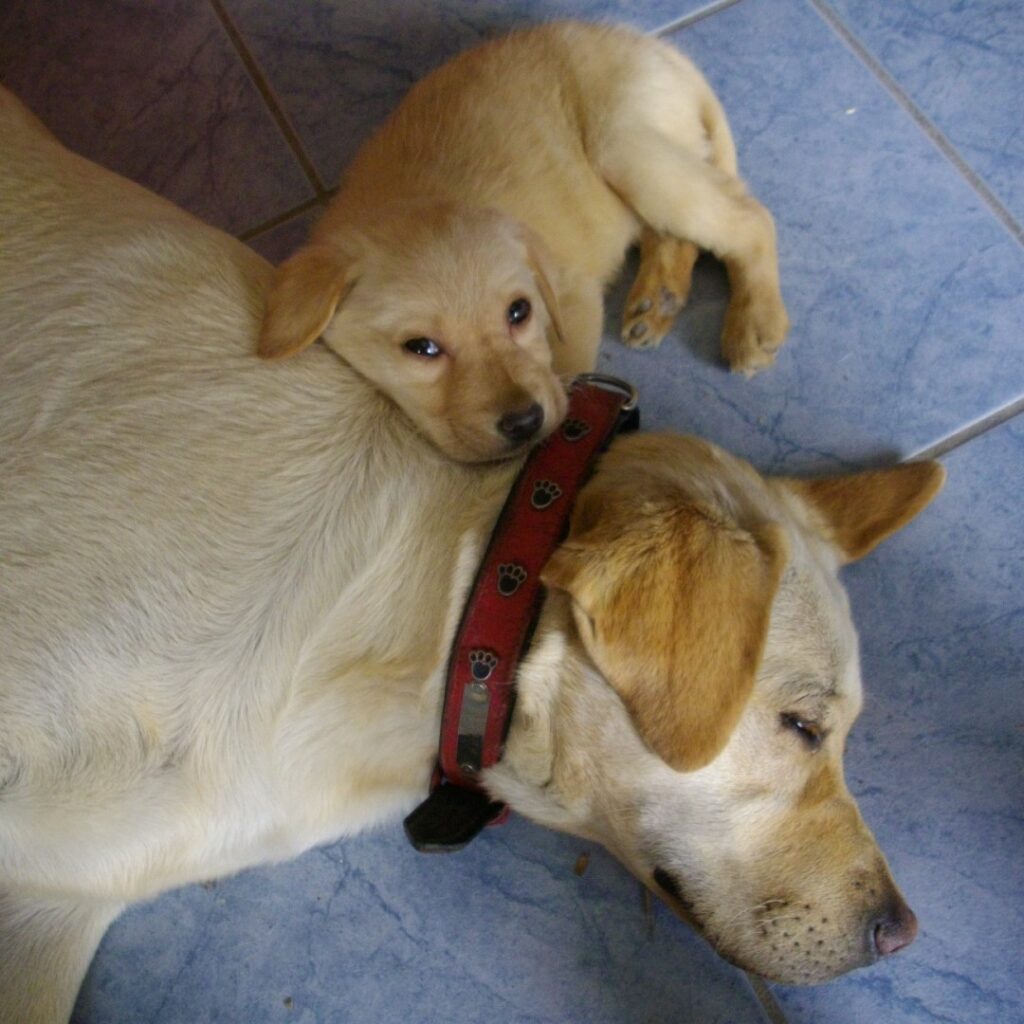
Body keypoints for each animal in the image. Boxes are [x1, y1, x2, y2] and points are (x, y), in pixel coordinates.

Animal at [260, 20, 786, 460]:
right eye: (421, 348)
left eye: (519, 312)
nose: (526, 422)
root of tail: (657, 47)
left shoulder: (572, 296)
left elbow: (567, 367)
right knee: (679, 233)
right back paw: (657, 300)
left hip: (625, 146)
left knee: (750, 220)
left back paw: (754, 322)